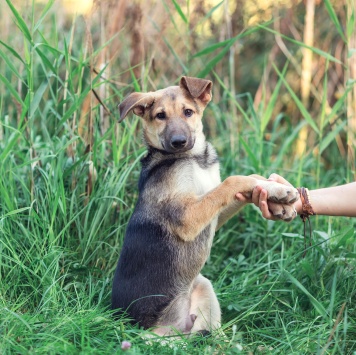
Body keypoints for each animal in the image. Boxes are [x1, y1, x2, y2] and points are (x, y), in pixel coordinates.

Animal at [112, 76, 300, 338]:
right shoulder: (187, 217)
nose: (178, 142)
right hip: (150, 336)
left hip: (203, 286)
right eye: (160, 115)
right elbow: (234, 180)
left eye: (188, 112)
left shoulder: (212, 212)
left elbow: (244, 182)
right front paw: (278, 192)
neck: (194, 159)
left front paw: (277, 198)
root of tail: (177, 328)